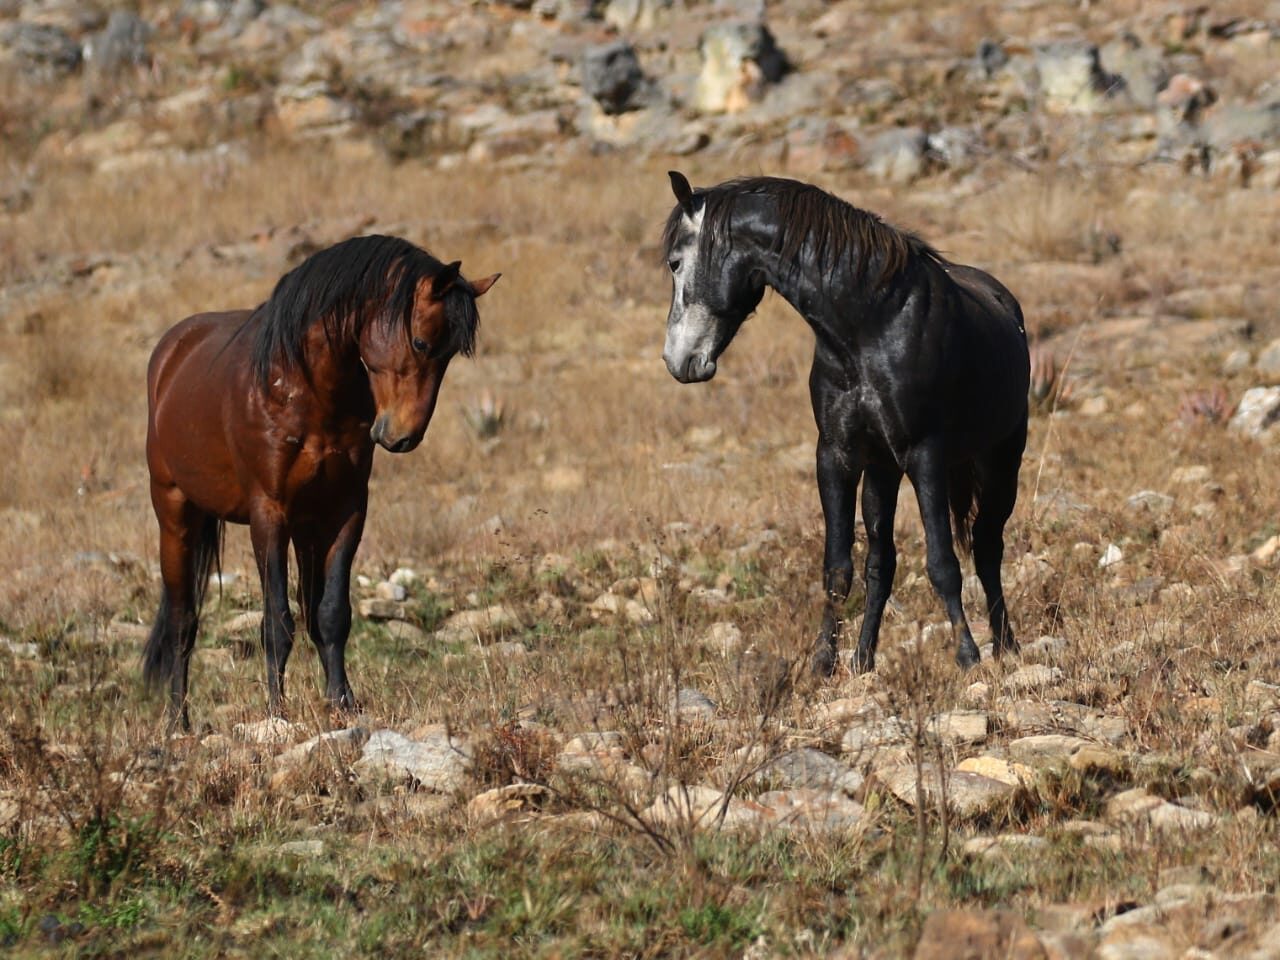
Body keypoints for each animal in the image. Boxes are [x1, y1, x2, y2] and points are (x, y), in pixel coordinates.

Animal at [144, 234, 499, 730]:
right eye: (421, 341)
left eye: (449, 355)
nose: (402, 436)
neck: (307, 387)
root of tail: (171, 353)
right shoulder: (268, 512)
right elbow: (276, 620)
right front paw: (277, 712)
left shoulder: (343, 511)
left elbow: (330, 614)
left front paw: (342, 703)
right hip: (175, 515)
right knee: (182, 621)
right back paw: (179, 723)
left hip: (301, 530)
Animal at [661, 172, 1029, 675]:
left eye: (675, 262)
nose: (676, 361)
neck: (869, 326)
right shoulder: (836, 456)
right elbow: (838, 567)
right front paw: (823, 662)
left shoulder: (925, 455)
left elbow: (942, 563)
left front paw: (968, 656)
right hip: (883, 472)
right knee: (883, 562)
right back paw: (864, 657)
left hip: (1000, 462)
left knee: (987, 547)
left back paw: (1005, 645)